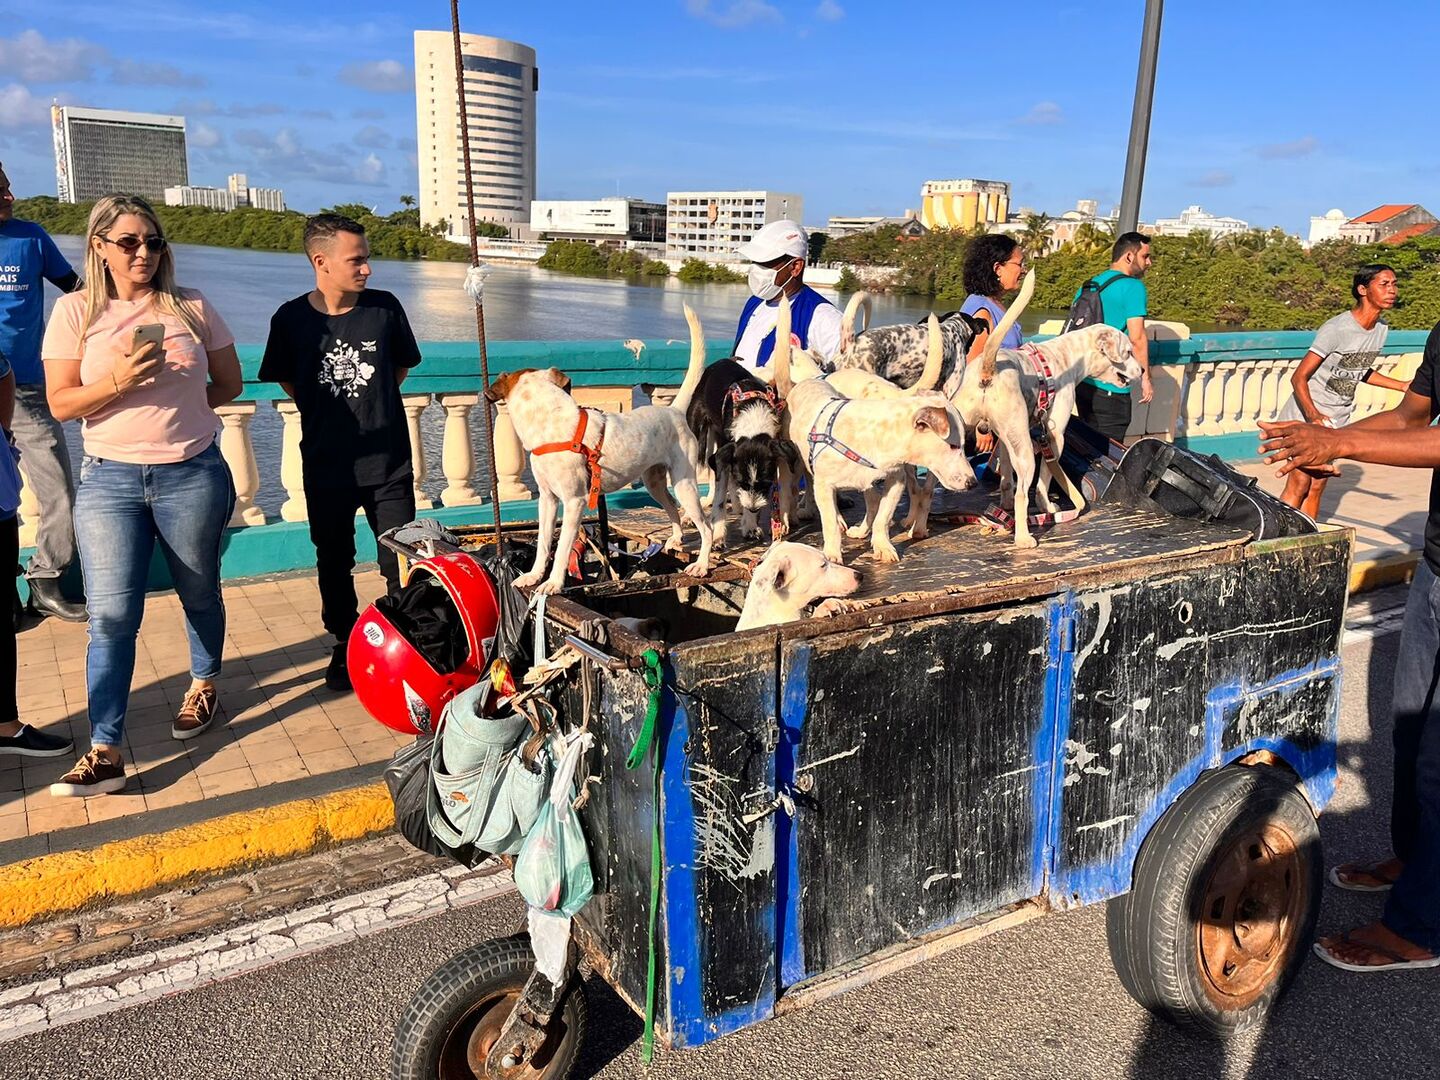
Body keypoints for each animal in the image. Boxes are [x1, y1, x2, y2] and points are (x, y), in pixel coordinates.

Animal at [483, 305, 708, 596]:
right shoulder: (547, 499)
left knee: (707, 526)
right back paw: (677, 539)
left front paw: (553, 583)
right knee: (672, 507)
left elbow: (561, 549)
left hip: (685, 484)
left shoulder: (574, 502)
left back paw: (702, 564)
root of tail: (674, 410)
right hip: (655, 482)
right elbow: (543, 543)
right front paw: (533, 576)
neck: (551, 425)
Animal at [682, 361, 800, 550]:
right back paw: (688, 515)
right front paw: (718, 536)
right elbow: (720, 499)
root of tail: (720, 362)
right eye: (742, 482)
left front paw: (750, 524)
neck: (753, 420)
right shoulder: (722, 458)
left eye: (766, 484)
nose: (752, 509)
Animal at [771, 296, 973, 567]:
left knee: (877, 501)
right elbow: (830, 522)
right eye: (953, 445)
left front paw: (883, 546)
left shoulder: (895, 481)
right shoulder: (825, 484)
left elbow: (883, 518)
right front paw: (833, 554)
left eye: (960, 446)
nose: (972, 482)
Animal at [961, 267, 1140, 544]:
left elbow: (1006, 480)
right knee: (1023, 494)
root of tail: (988, 370)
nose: (1142, 370)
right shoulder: (1054, 436)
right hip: (1026, 452)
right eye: (1129, 352)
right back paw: (1024, 539)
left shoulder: (1005, 441)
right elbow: (1044, 481)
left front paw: (1004, 505)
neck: (1067, 358)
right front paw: (1047, 507)